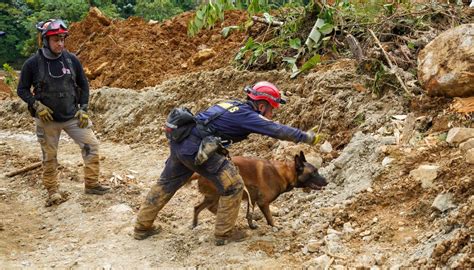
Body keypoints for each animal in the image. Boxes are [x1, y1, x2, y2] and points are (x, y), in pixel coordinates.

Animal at [191, 151, 328, 229]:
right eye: (314, 172)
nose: (326, 181)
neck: (285, 174)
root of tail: (199, 173)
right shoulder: (263, 202)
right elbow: (269, 217)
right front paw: (275, 226)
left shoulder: (252, 199)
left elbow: (249, 214)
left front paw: (251, 225)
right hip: (221, 195)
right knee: (209, 208)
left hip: (213, 197)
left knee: (198, 207)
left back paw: (195, 223)